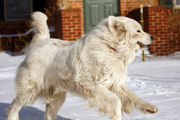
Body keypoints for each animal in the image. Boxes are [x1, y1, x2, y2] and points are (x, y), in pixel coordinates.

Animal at [6, 11, 157, 120]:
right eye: (138, 31)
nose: (152, 37)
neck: (110, 48)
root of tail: (40, 42)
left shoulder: (115, 85)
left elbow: (134, 97)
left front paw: (149, 107)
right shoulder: (90, 84)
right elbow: (116, 101)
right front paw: (116, 115)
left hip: (57, 96)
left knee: (48, 114)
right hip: (29, 90)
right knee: (13, 106)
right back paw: (12, 117)